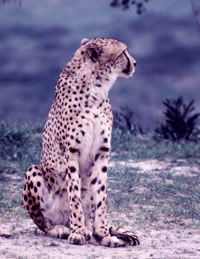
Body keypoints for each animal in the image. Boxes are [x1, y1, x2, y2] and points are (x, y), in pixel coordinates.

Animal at [22, 38, 139, 248]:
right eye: (123, 52)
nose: (135, 63)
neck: (96, 87)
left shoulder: (102, 151)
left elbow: (100, 196)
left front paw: (103, 234)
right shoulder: (72, 152)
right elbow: (74, 195)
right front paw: (76, 233)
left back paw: (88, 228)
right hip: (34, 171)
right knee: (43, 224)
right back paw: (62, 228)